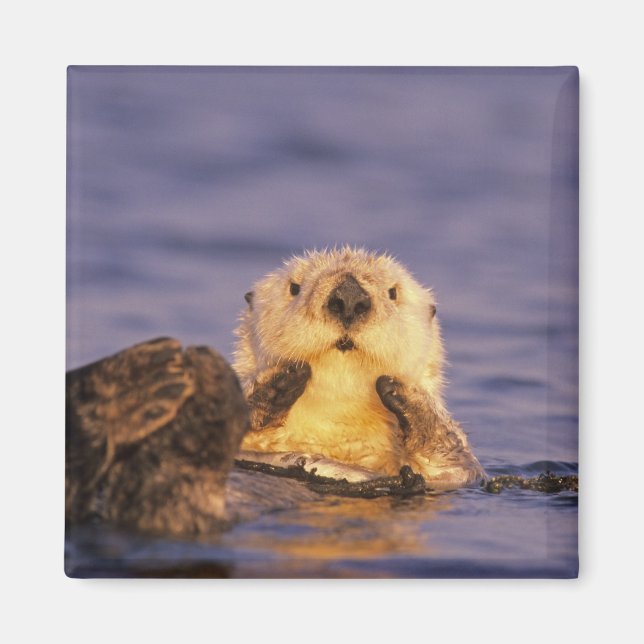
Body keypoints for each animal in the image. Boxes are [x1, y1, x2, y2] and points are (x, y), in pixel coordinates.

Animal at [234, 247, 486, 490]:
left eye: (393, 293)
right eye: (294, 288)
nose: (349, 297)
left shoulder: (450, 477)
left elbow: (459, 466)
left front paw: (405, 394)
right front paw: (276, 383)